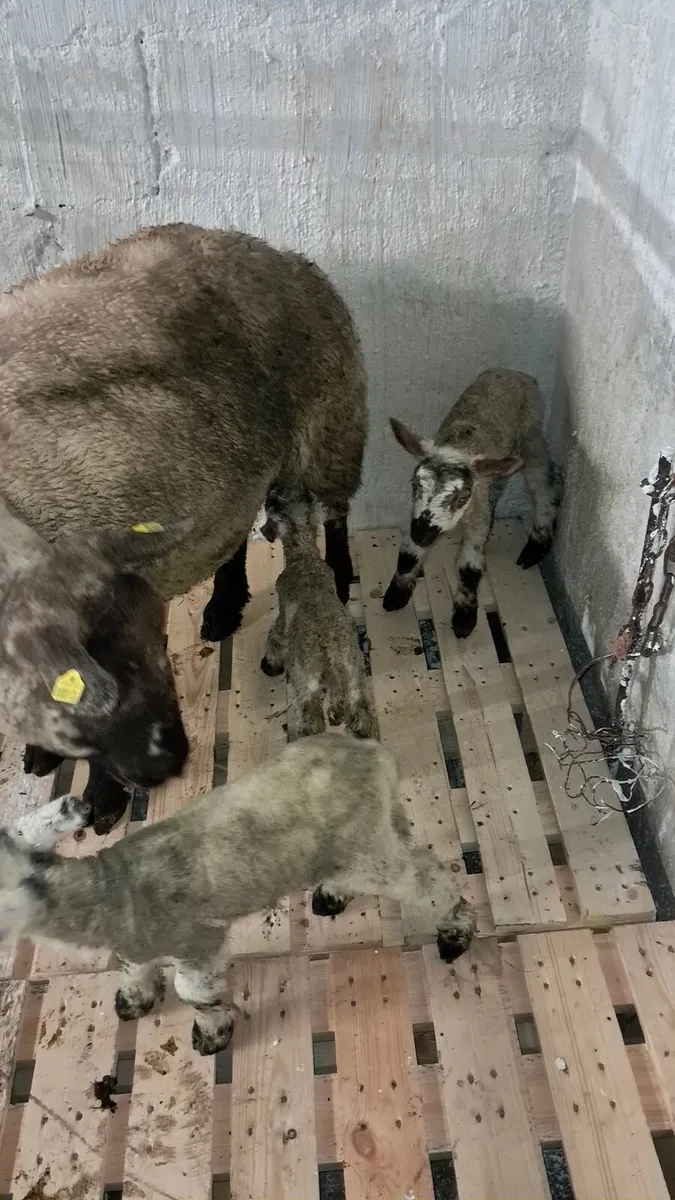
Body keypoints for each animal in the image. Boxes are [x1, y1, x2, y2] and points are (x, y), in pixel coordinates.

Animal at [1, 223, 367, 827]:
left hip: (332, 424)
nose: (164, 766)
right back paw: (223, 605)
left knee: (335, 514)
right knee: (236, 530)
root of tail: (275, 250)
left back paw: (337, 575)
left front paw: (103, 800)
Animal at [4, 733, 477, 1055]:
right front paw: (134, 999)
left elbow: (193, 992)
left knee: (427, 878)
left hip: (366, 850)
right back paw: (332, 895)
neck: (117, 889)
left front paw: (211, 1033)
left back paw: (455, 931)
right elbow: (132, 965)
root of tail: (373, 754)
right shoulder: (137, 940)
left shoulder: (200, 940)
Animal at [260, 488, 379, 741]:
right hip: (354, 676)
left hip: (307, 683)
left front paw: (270, 663)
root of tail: (330, 652)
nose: (271, 491)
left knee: (312, 717)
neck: (304, 557)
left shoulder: (282, 617)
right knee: (359, 709)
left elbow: (274, 638)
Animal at [383, 368, 562, 638]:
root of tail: (514, 373)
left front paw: (464, 619)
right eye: (414, 485)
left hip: (531, 431)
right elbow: (409, 555)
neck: (460, 446)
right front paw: (395, 595)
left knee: (542, 483)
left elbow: (469, 567)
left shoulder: (475, 515)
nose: (422, 535)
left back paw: (536, 545)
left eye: (462, 497)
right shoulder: (417, 516)